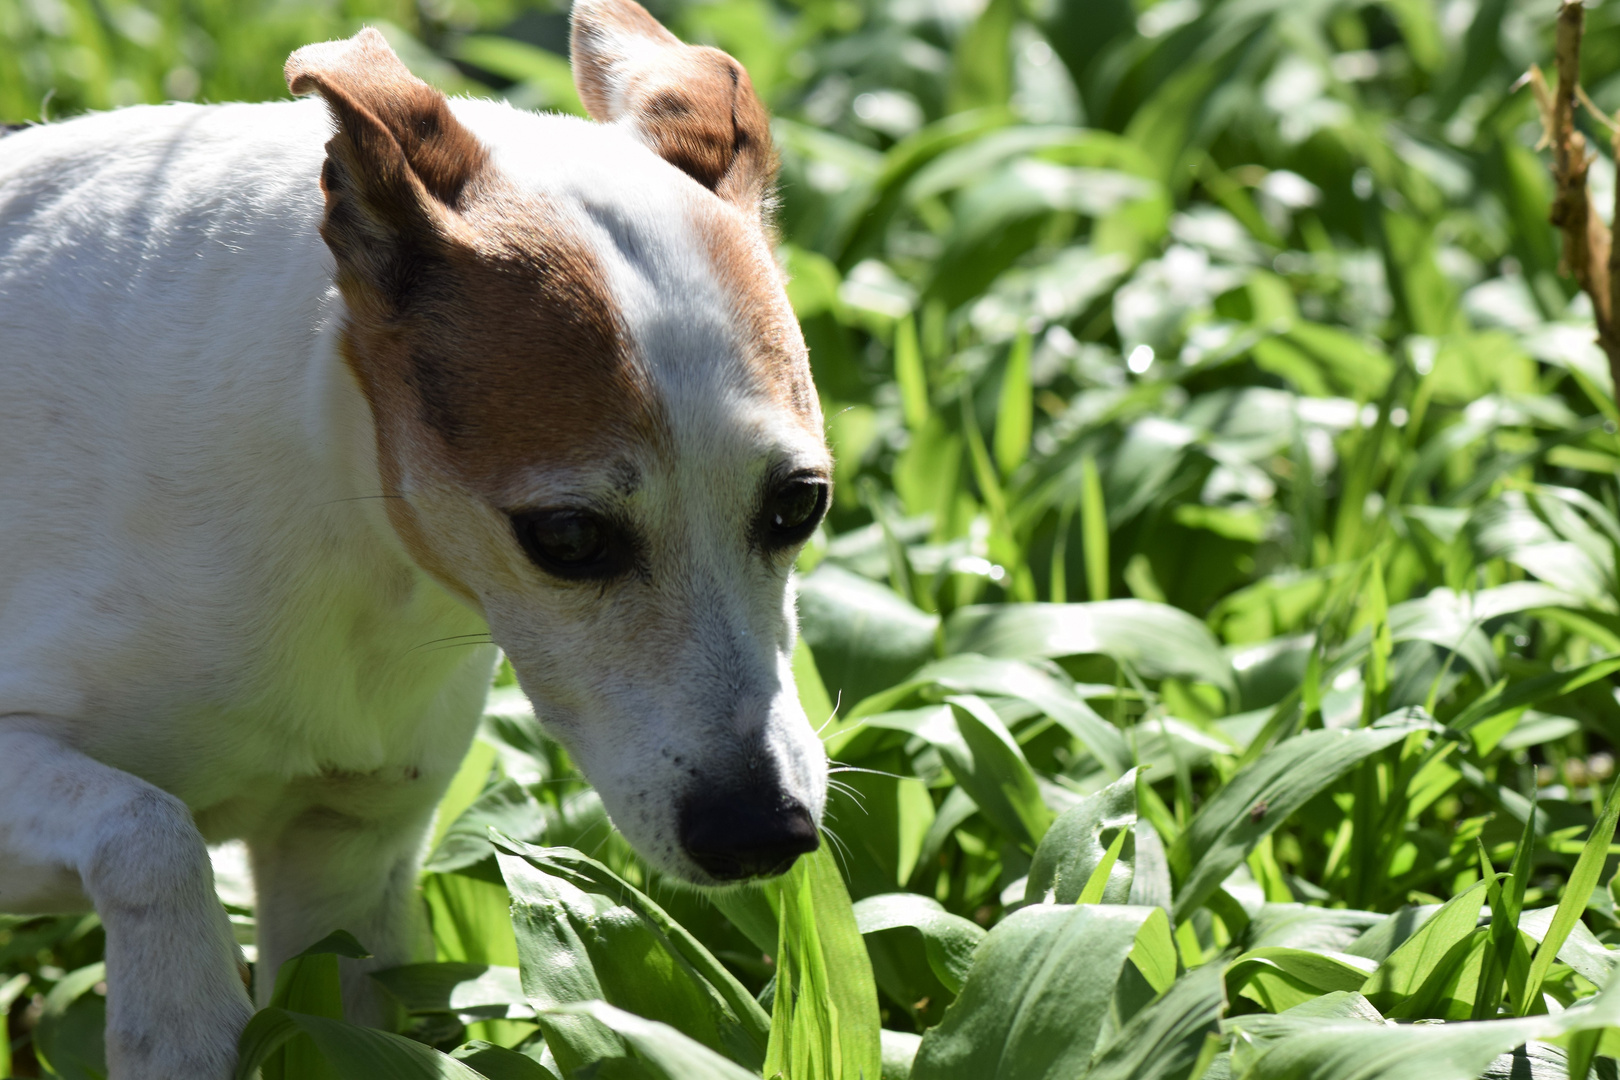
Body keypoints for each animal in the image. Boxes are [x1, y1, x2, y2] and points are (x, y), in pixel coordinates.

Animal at [0, 4, 829, 1075]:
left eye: (801, 505)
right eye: (568, 537)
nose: (764, 832)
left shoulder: (347, 855)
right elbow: (149, 828)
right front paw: (179, 1019)